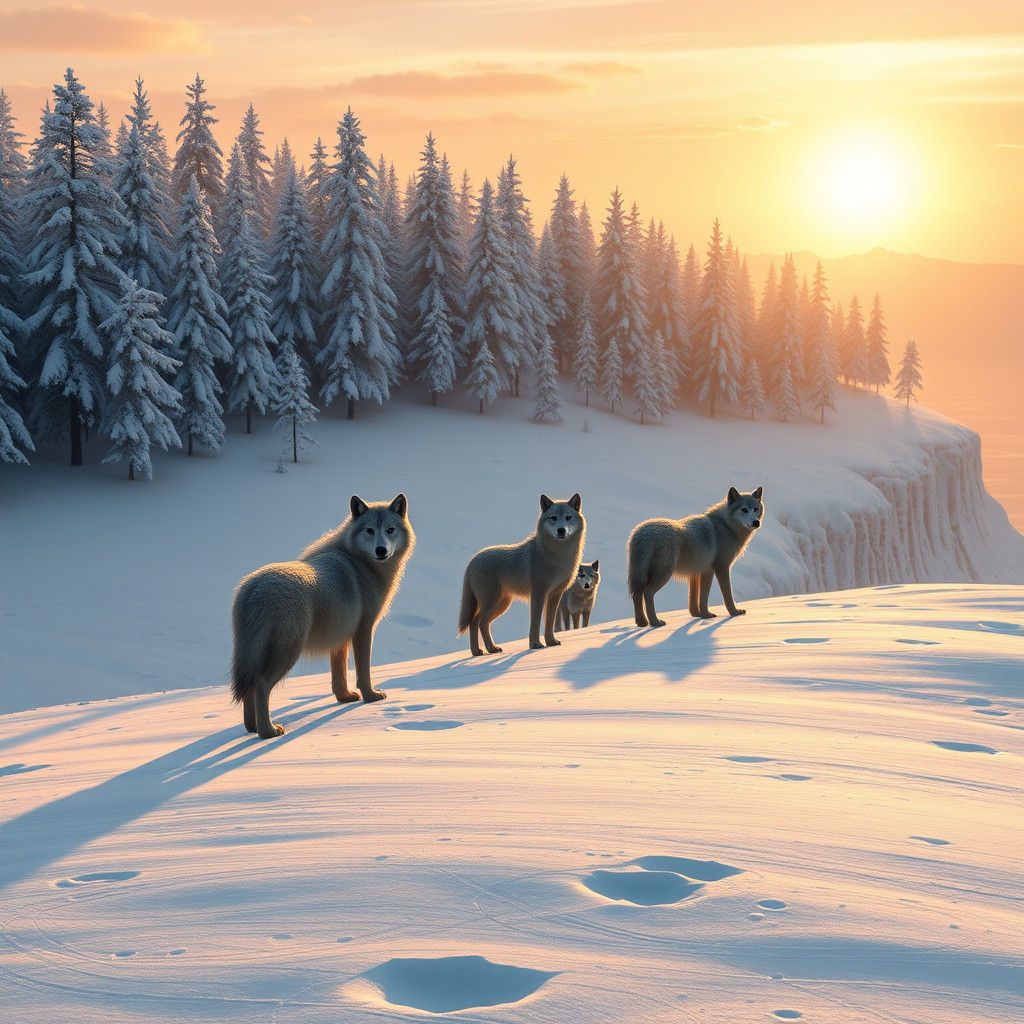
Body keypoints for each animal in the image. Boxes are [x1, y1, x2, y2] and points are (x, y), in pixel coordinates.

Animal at [231, 494, 415, 739]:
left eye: (390, 529)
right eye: (370, 530)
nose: (381, 550)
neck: (359, 564)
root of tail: (253, 589)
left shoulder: (340, 639)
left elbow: (339, 677)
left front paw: (345, 698)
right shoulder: (364, 630)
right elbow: (363, 671)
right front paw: (370, 697)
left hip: (259, 654)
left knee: (250, 686)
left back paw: (252, 728)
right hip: (288, 652)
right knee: (260, 685)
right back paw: (268, 732)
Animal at [458, 494, 585, 655]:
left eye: (568, 517)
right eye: (554, 518)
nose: (561, 530)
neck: (557, 557)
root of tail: (472, 561)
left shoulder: (555, 595)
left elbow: (549, 623)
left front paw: (551, 642)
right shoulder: (538, 594)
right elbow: (535, 623)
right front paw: (535, 644)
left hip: (501, 604)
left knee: (477, 623)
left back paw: (478, 652)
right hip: (493, 602)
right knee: (478, 622)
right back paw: (490, 649)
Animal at [627, 486, 764, 628]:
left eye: (755, 509)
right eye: (744, 509)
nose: (756, 522)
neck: (724, 526)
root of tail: (640, 533)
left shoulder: (698, 572)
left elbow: (695, 599)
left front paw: (700, 615)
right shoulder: (721, 568)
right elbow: (723, 595)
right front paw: (733, 613)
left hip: (642, 575)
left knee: (636, 594)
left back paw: (642, 622)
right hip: (663, 574)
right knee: (647, 593)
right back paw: (655, 622)